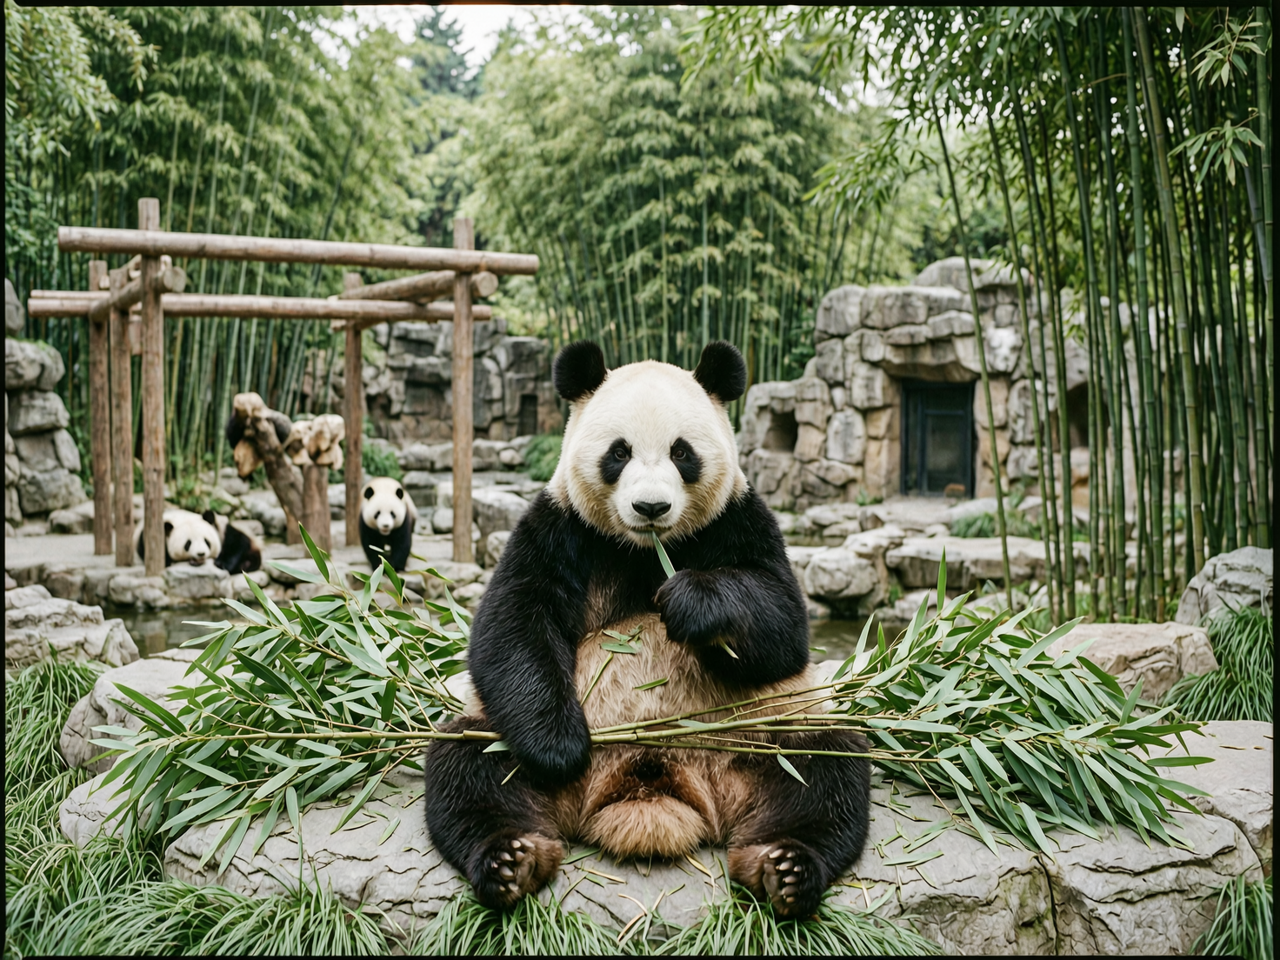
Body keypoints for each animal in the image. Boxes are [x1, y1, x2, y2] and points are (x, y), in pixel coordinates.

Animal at [424, 341, 870, 918]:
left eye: (682, 453)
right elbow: (512, 624)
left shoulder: (738, 518)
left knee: (824, 768)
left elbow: (784, 623)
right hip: (495, 735)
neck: (641, 549)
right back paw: (511, 859)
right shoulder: (561, 527)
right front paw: (559, 748)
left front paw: (690, 603)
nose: (651, 507)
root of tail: (655, 788)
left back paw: (784, 867)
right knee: (469, 768)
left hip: (765, 730)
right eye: (619, 453)